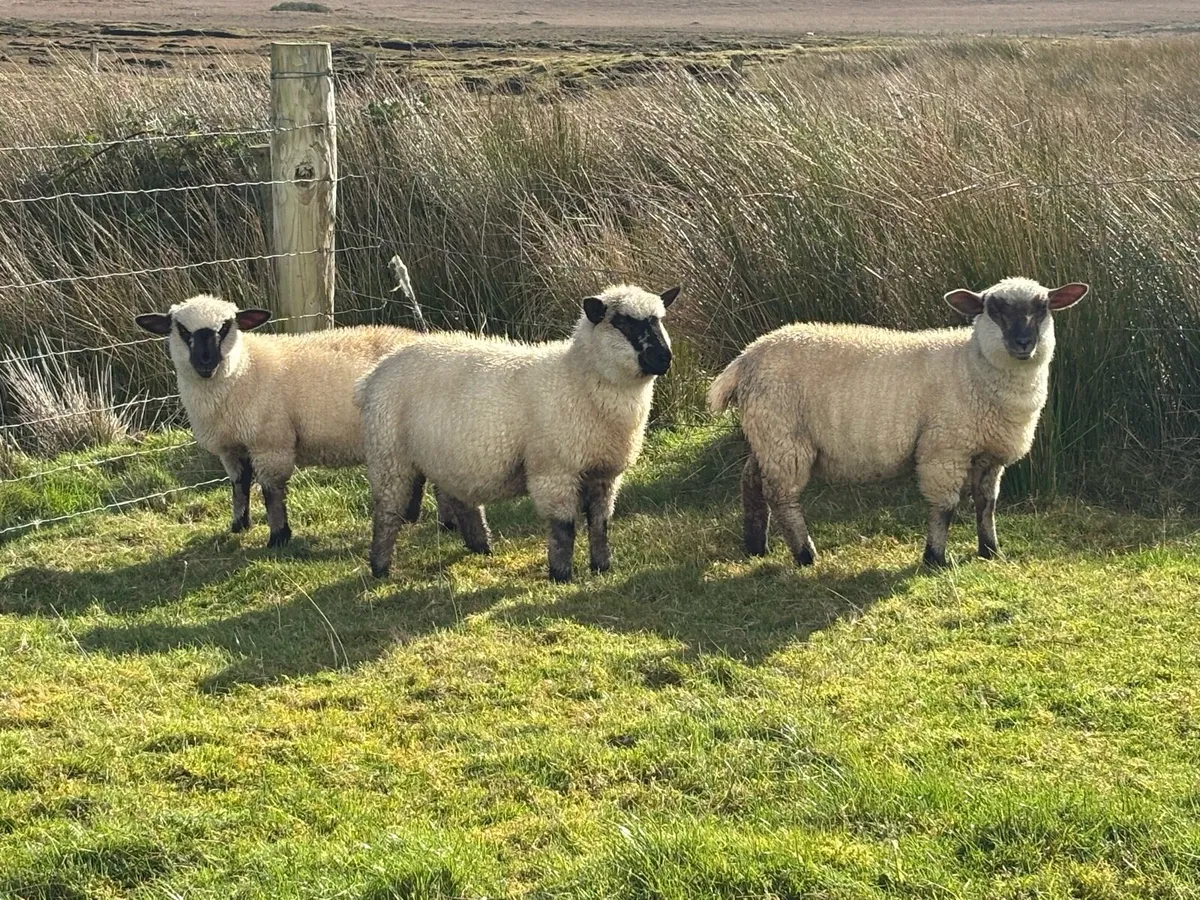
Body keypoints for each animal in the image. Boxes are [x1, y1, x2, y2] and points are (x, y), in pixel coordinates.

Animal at [135, 294, 452, 547]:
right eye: (181, 329)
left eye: (225, 327)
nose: (205, 361)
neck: (244, 369)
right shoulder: (232, 447)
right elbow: (239, 485)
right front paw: (239, 524)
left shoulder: (271, 443)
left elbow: (271, 492)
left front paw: (278, 536)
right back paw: (409, 516)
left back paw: (442, 523)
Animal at [356, 283, 680, 582]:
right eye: (623, 323)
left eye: (658, 320)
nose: (664, 358)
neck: (577, 378)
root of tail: (375, 372)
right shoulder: (554, 471)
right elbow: (563, 527)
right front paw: (561, 575)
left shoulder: (605, 474)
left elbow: (600, 524)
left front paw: (601, 567)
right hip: (390, 456)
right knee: (386, 513)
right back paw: (380, 567)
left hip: (445, 457)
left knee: (459, 499)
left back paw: (481, 546)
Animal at [707, 277, 1089, 568]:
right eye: (993, 309)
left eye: (1043, 308)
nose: (1024, 343)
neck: (970, 366)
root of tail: (745, 358)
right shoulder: (944, 449)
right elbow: (945, 507)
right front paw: (935, 558)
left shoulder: (989, 455)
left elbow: (987, 504)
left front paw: (991, 550)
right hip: (784, 437)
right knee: (781, 496)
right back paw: (805, 555)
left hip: (767, 434)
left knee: (751, 481)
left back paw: (756, 546)